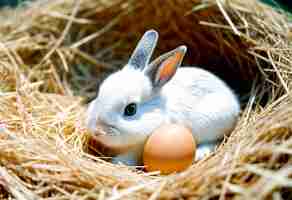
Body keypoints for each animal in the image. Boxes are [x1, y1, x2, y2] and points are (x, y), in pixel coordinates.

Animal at [86, 29, 240, 166]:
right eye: (99, 94)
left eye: (131, 109)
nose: (97, 130)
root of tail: (234, 102)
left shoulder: (139, 147)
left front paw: (117, 162)